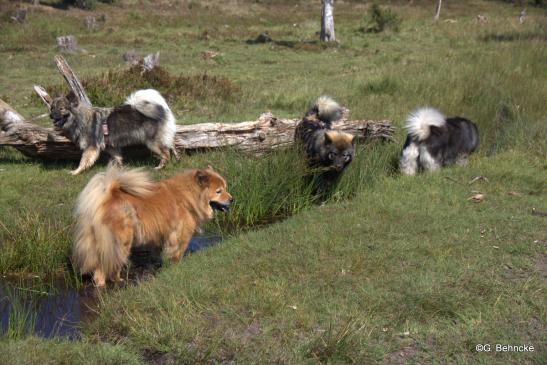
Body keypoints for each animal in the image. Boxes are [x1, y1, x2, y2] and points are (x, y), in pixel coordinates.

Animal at [49, 88, 178, 173]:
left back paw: (159, 167)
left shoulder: (91, 147)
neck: (80, 118)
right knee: (171, 145)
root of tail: (161, 109)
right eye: (52, 108)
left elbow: (83, 161)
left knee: (165, 153)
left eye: (61, 109)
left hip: (152, 143)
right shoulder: (110, 146)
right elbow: (118, 158)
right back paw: (177, 157)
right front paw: (120, 169)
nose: (51, 116)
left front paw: (76, 171)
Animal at [72, 164, 231, 286]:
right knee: (107, 268)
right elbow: (177, 253)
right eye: (219, 191)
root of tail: (106, 196)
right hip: (121, 242)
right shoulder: (181, 235)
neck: (190, 196)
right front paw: (177, 267)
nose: (232, 199)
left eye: (225, 188)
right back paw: (116, 281)